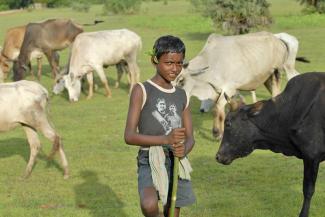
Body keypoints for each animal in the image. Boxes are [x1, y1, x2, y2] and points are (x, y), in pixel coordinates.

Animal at [176, 31, 308, 138]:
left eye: (181, 81)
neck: (213, 61)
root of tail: (277, 38)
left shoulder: (229, 88)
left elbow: (218, 109)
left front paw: (217, 133)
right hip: (267, 78)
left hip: (277, 71)